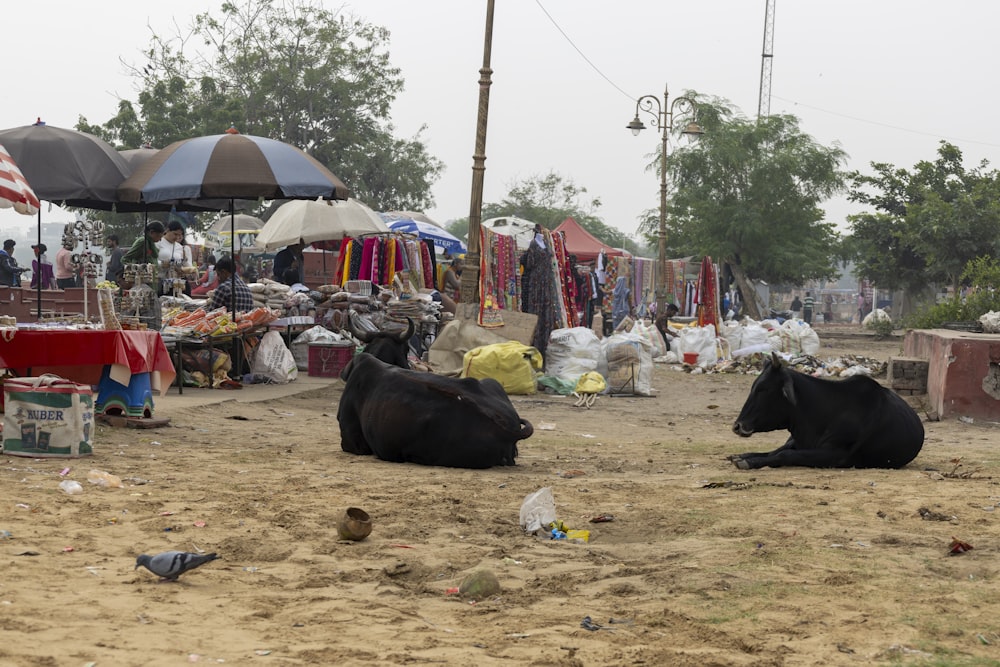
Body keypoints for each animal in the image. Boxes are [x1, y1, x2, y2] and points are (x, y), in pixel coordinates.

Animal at [732, 354, 924, 470]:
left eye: (763, 390)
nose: (737, 426)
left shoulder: (836, 455)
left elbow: (783, 455)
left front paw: (748, 462)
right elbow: (777, 452)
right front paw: (744, 457)